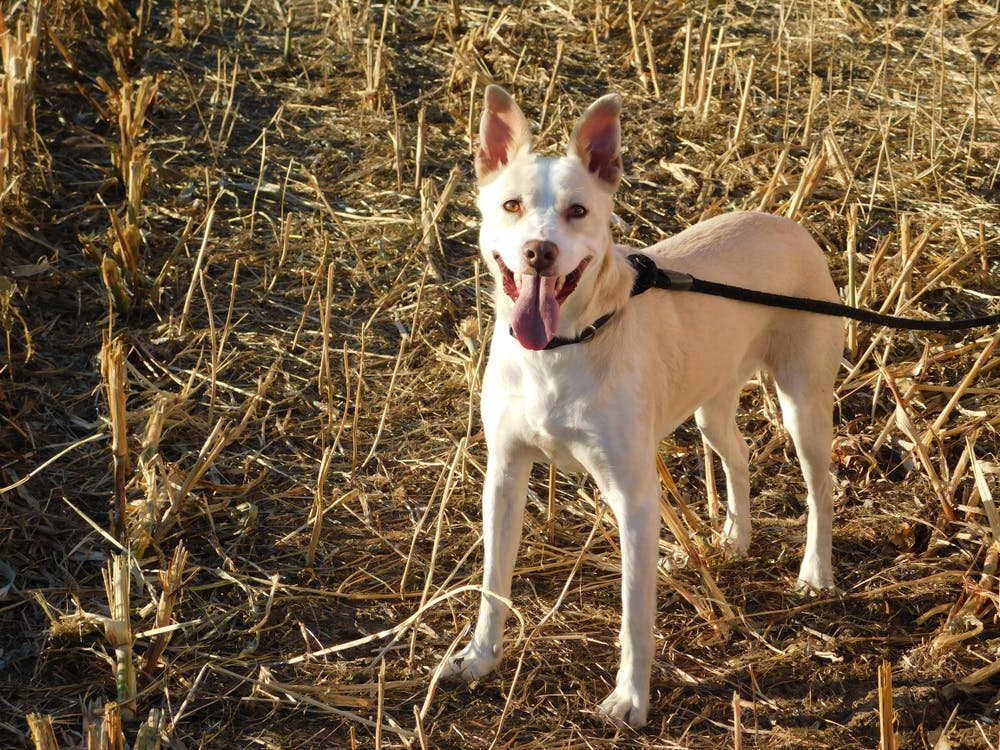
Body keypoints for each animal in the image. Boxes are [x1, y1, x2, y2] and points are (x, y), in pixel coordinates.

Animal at [446, 86, 844, 728]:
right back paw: (735, 539)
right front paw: (481, 657)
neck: (560, 350)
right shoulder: (503, 476)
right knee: (738, 457)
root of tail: (788, 222)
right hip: (711, 405)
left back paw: (815, 573)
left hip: (803, 403)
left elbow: (636, 613)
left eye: (578, 211)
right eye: (510, 205)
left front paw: (630, 699)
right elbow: (492, 583)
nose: (539, 252)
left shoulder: (634, 497)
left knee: (820, 487)